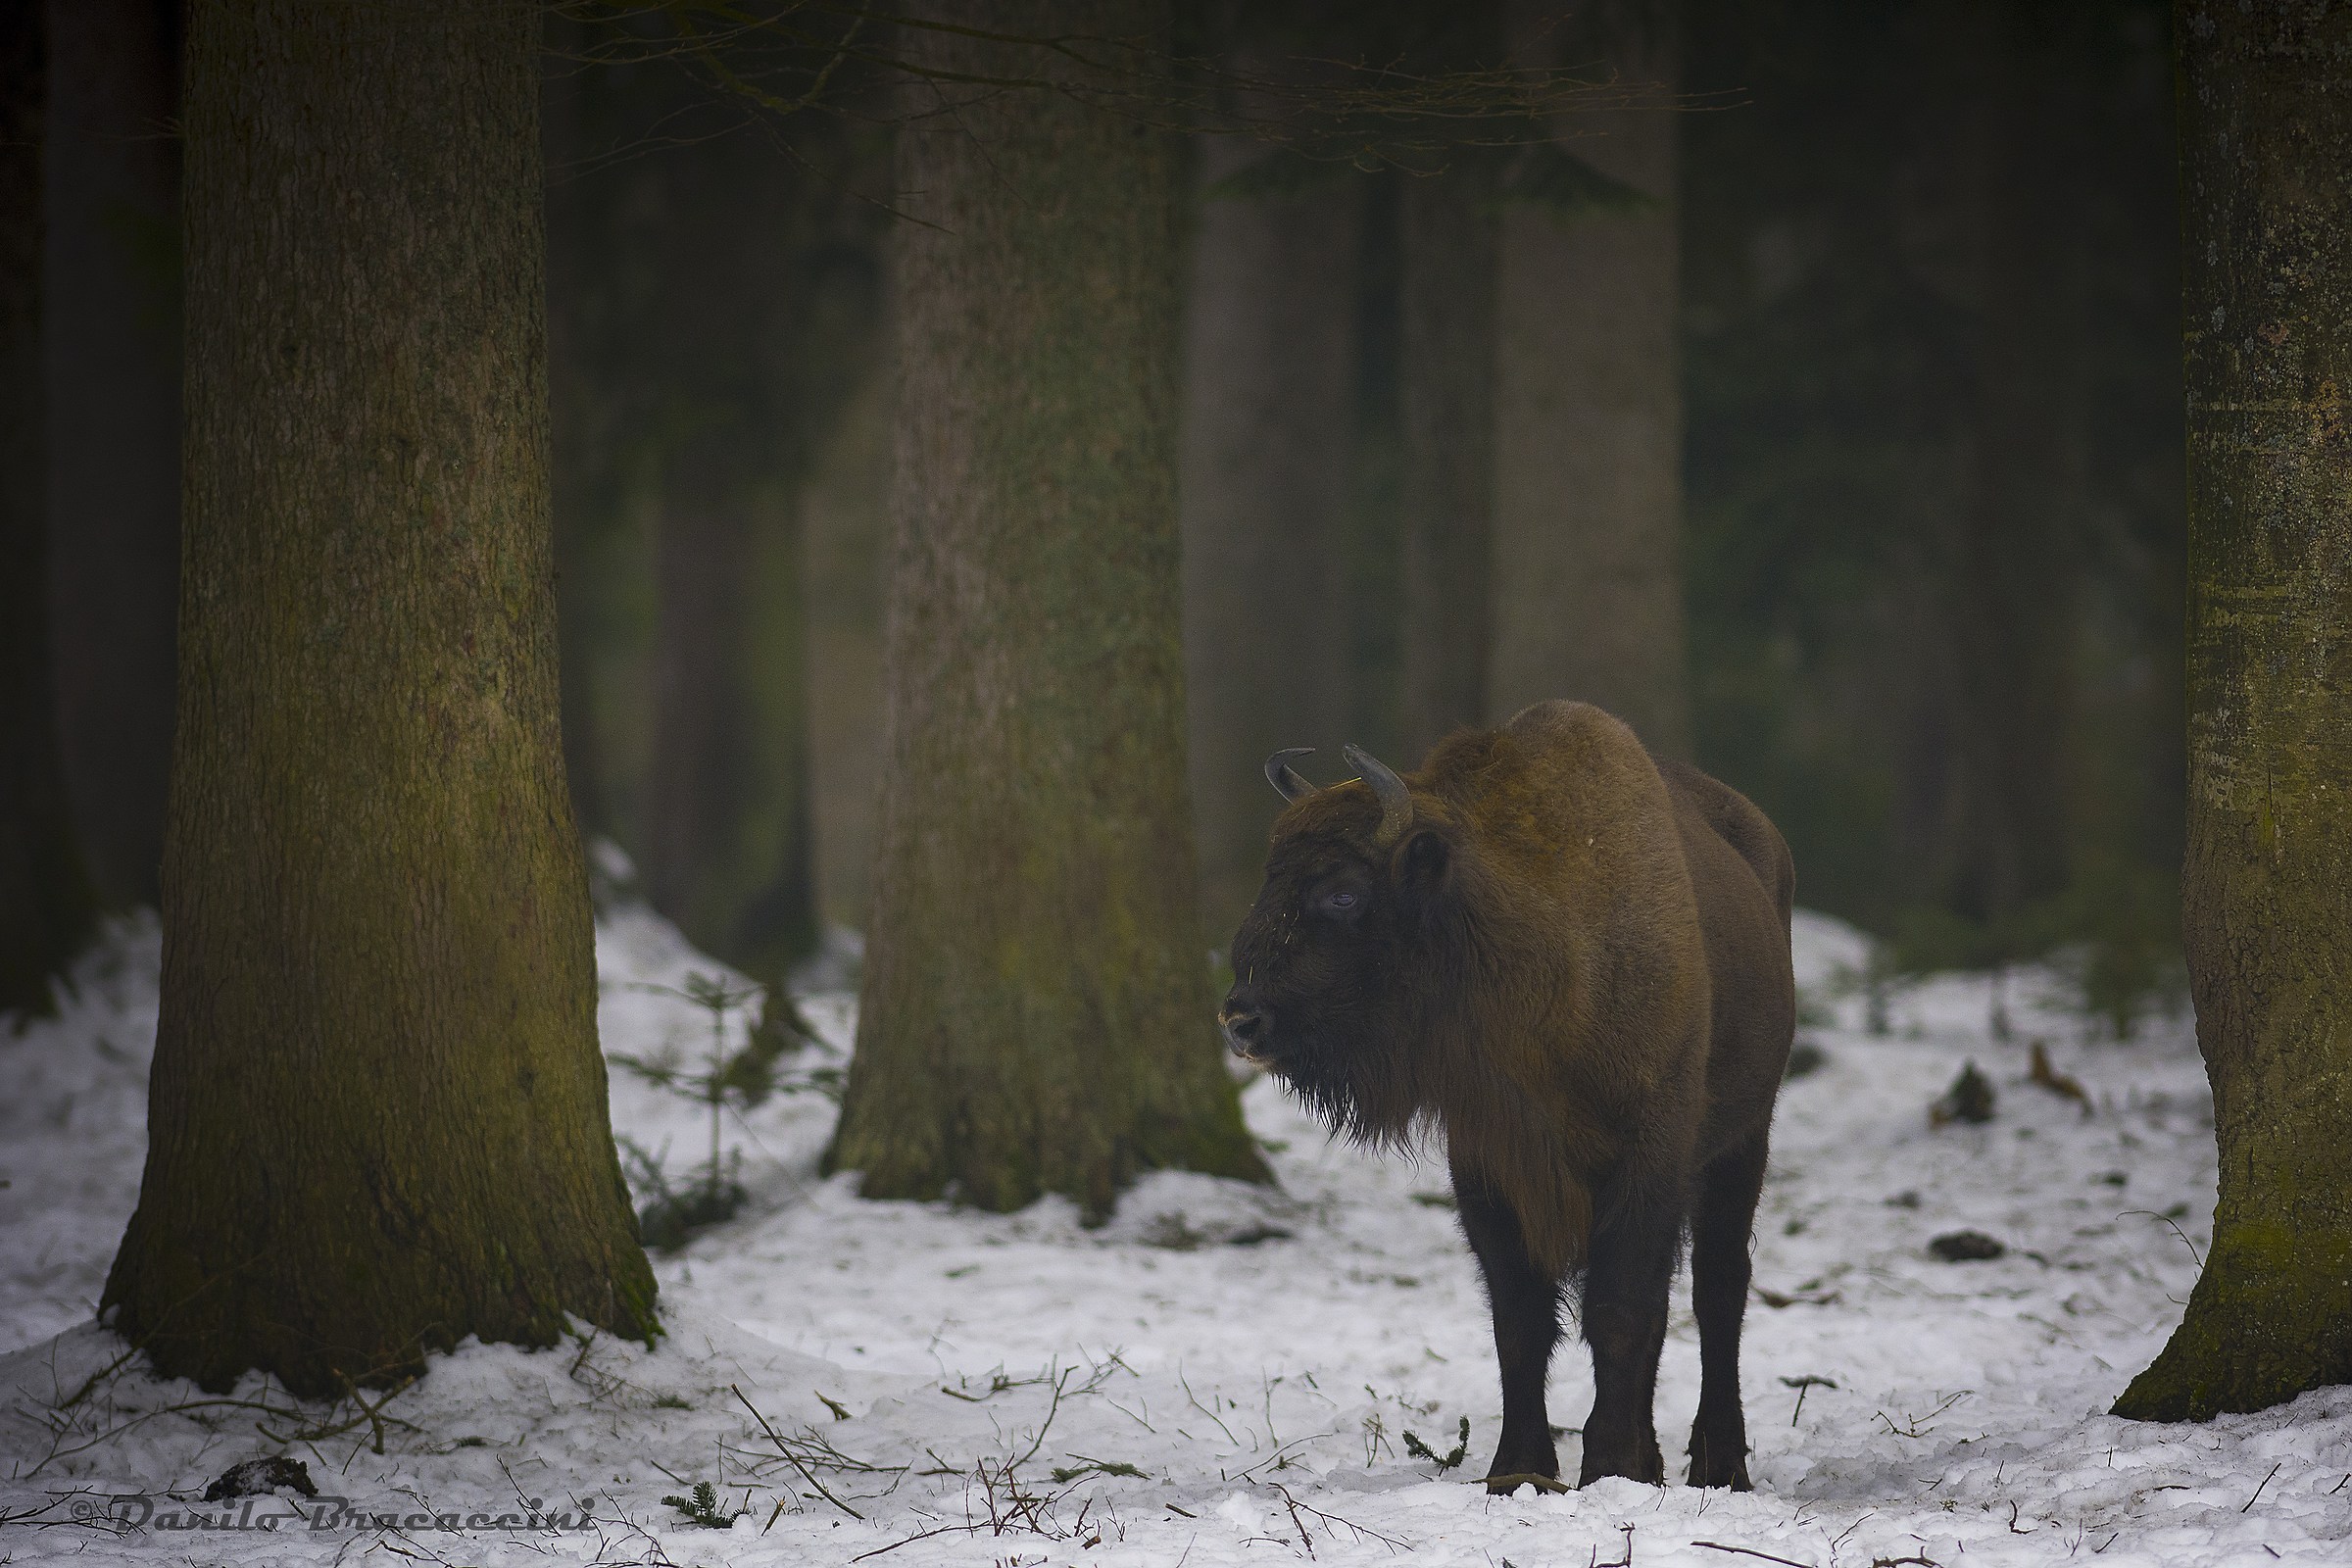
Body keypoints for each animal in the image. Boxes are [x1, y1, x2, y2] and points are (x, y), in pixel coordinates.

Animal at [1219, 700, 1795, 1492]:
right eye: (1270, 880)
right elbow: (1521, 1317)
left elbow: (1619, 1309)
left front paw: (1609, 1467)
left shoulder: (1650, 1153)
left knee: (1719, 1288)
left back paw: (1719, 1463)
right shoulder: (1488, 1162)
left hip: (1744, 1139)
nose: (1241, 1019)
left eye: (1342, 891)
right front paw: (1519, 1472)